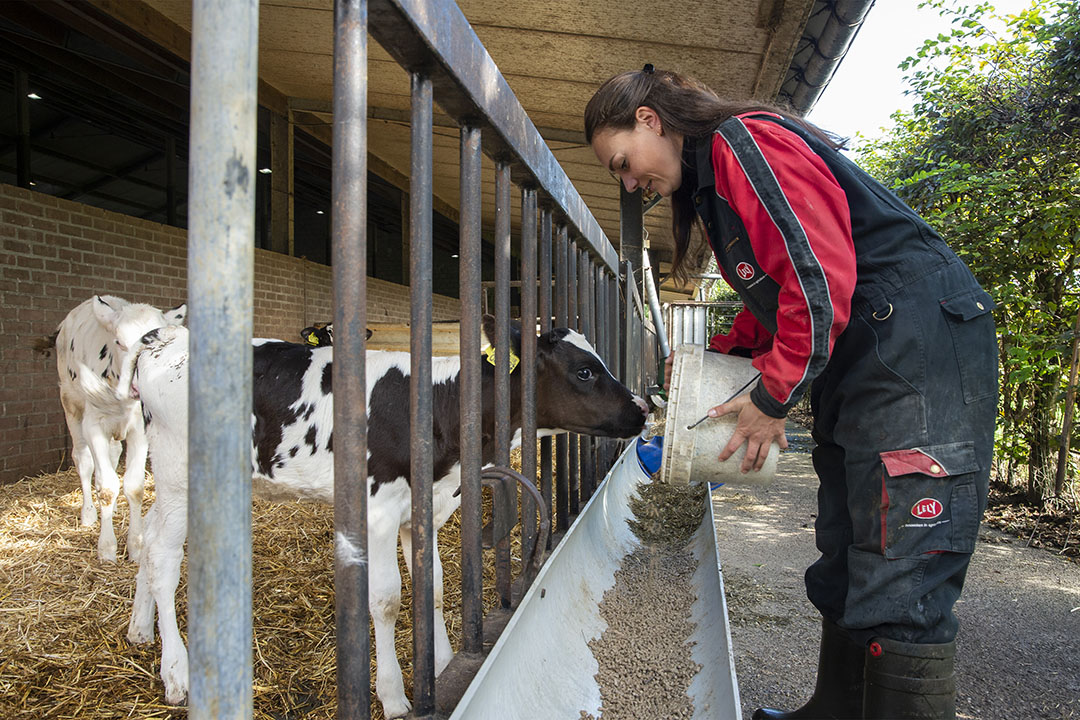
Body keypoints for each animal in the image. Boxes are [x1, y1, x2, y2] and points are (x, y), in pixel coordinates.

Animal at [39, 293, 186, 561]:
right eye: (118, 342)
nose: (138, 384)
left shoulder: (139, 428)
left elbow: (134, 486)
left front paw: (135, 544)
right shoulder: (93, 425)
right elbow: (105, 486)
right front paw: (107, 548)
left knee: (114, 454)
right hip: (70, 402)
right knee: (83, 460)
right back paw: (88, 513)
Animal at [122, 317, 643, 716]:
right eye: (584, 372)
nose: (643, 408)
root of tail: (163, 335)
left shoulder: (423, 510)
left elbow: (433, 586)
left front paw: (442, 664)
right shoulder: (377, 511)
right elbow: (387, 600)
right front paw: (394, 696)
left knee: (147, 542)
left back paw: (140, 630)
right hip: (180, 475)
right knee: (164, 556)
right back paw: (176, 673)